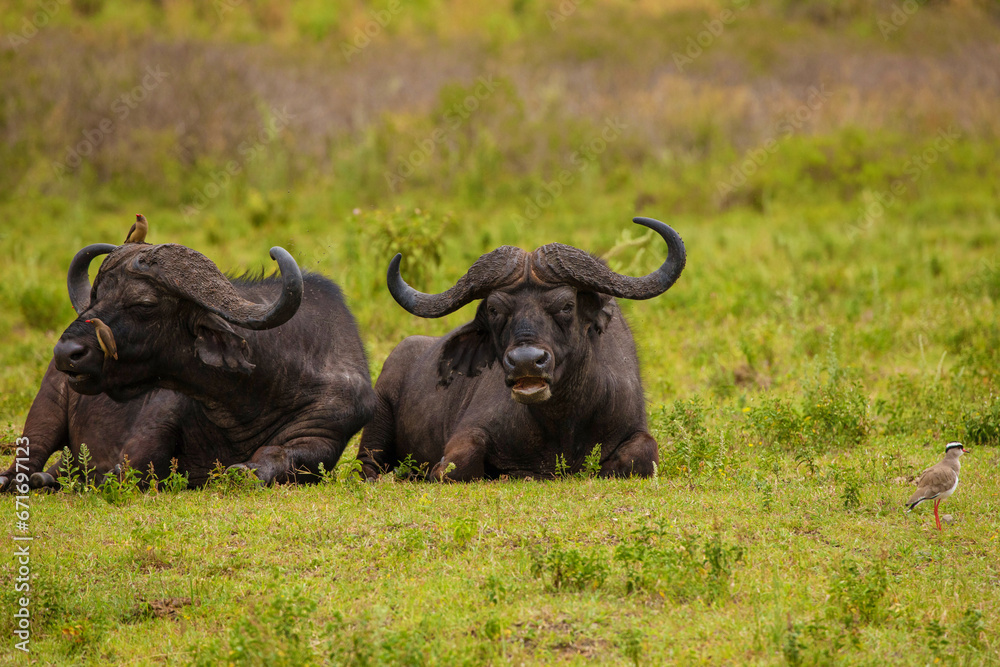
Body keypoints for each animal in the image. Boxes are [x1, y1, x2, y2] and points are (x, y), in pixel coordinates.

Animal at [0, 241, 376, 490]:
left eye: (144, 304)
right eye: (96, 297)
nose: (66, 352)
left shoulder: (324, 433)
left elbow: (282, 456)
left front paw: (246, 471)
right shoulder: (155, 420)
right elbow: (138, 462)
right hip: (46, 406)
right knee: (31, 452)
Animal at [358, 217, 688, 482]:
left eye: (566, 305)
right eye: (494, 309)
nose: (526, 362)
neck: (561, 421)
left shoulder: (635, 428)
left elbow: (644, 454)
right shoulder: (466, 434)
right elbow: (455, 466)